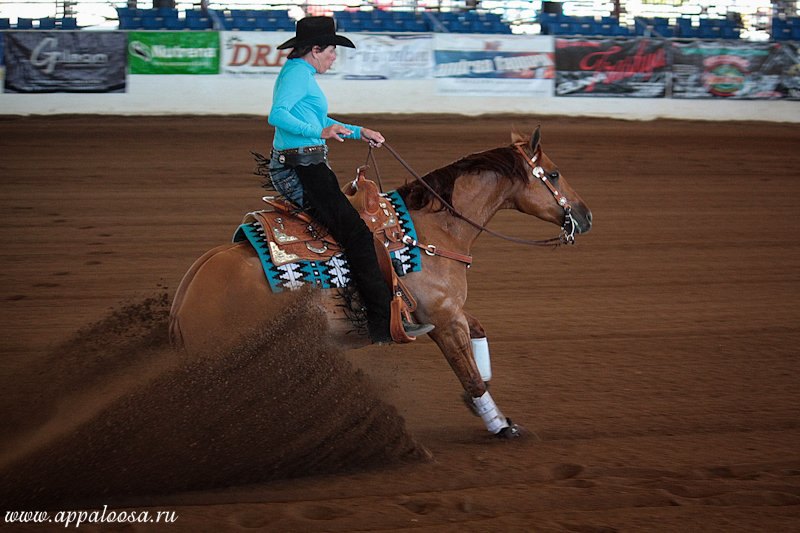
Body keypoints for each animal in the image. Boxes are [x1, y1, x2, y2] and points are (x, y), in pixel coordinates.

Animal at [170, 128, 592, 436]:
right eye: (554, 173)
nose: (585, 216)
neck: (434, 229)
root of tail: (186, 297)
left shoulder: (452, 311)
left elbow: (478, 339)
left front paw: (477, 403)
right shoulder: (443, 319)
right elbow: (469, 374)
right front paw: (500, 424)